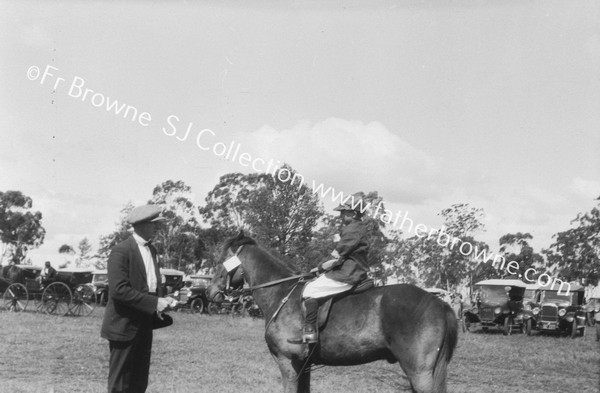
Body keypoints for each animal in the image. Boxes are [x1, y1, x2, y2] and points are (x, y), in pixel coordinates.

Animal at [209, 231, 458, 390]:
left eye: (221, 261)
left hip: (419, 372)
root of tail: (438, 302)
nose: (211, 292)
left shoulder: (287, 362)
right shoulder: (303, 366)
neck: (282, 292)